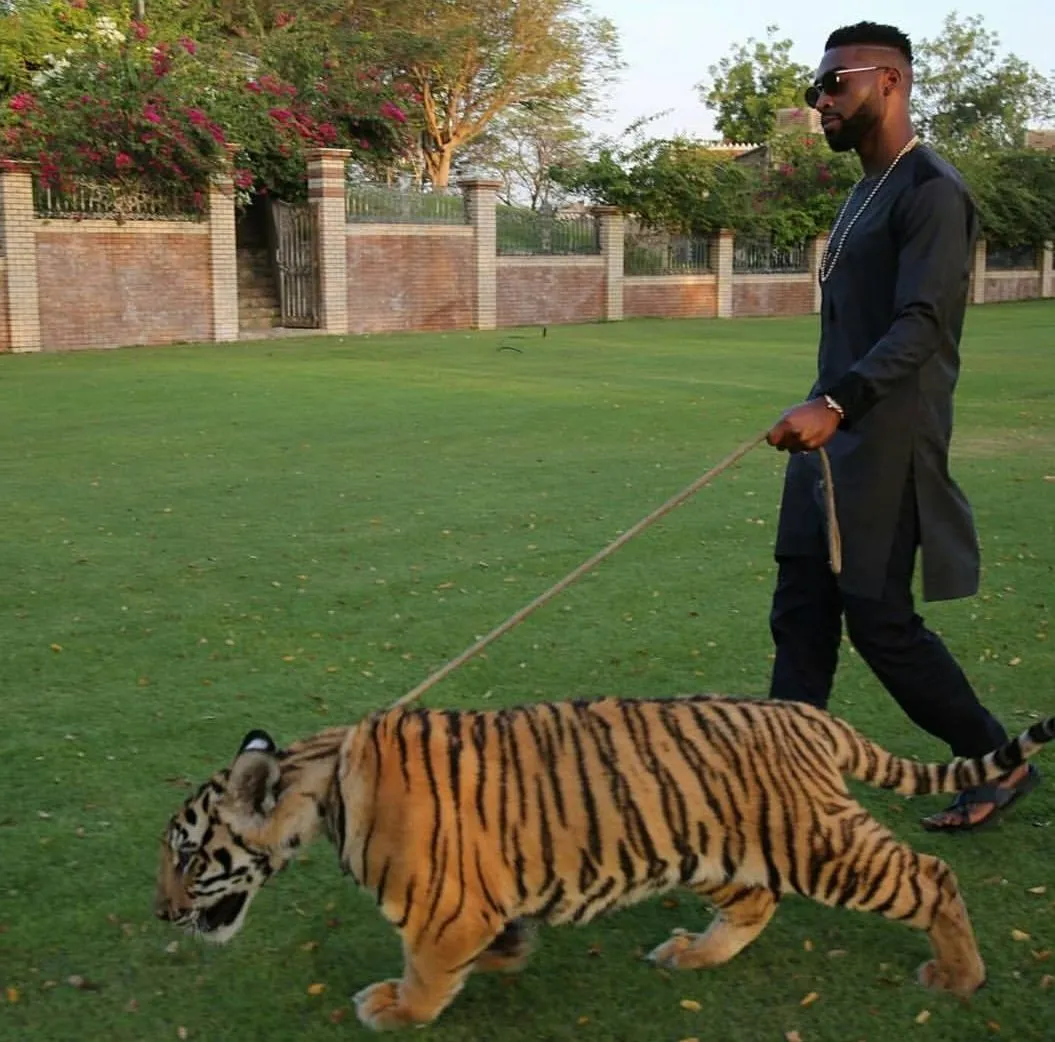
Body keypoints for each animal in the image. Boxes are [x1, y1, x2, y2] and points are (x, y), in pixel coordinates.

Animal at [152, 696, 1050, 1029]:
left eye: (188, 856)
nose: (160, 913)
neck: (325, 783)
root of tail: (807, 714)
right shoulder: (477, 896)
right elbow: (489, 941)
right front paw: (508, 954)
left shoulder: (444, 908)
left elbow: (426, 967)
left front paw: (397, 1008)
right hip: (715, 848)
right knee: (753, 906)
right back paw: (691, 953)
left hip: (818, 844)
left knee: (929, 878)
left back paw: (958, 978)